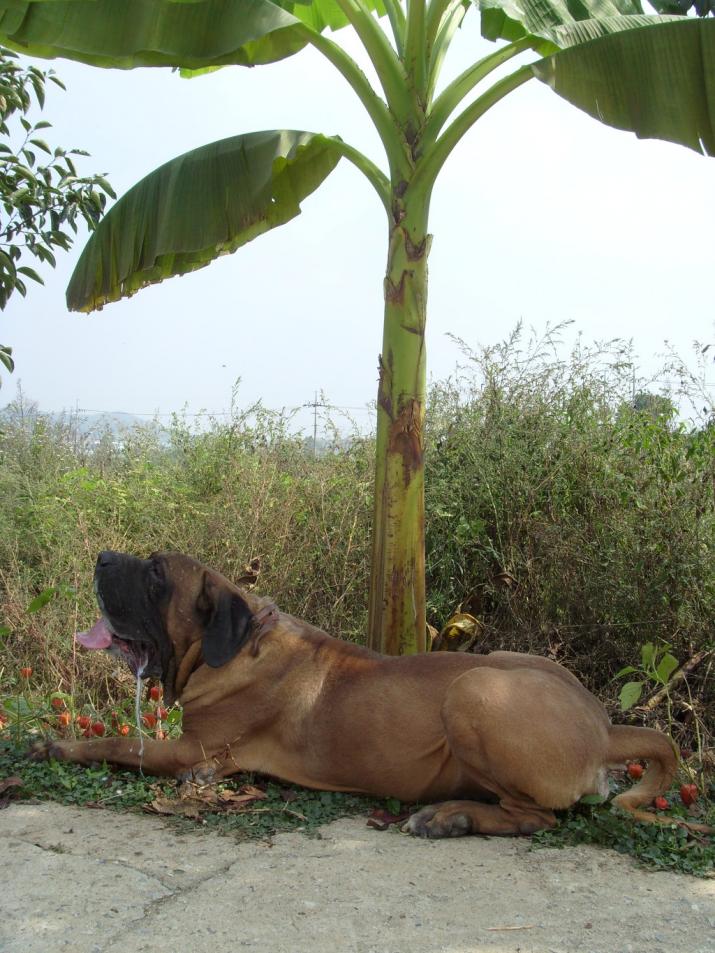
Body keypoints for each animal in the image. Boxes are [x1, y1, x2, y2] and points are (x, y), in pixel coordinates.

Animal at [35, 552, 684, 832]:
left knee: (537, 819)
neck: (238, 644)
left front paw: (57, 746)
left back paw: (450, 817)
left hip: (472, 692)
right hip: (501, 664)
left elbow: (121, 746)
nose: (101, 557)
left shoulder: (191, 748)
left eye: (155, 574)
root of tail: (605, 728)